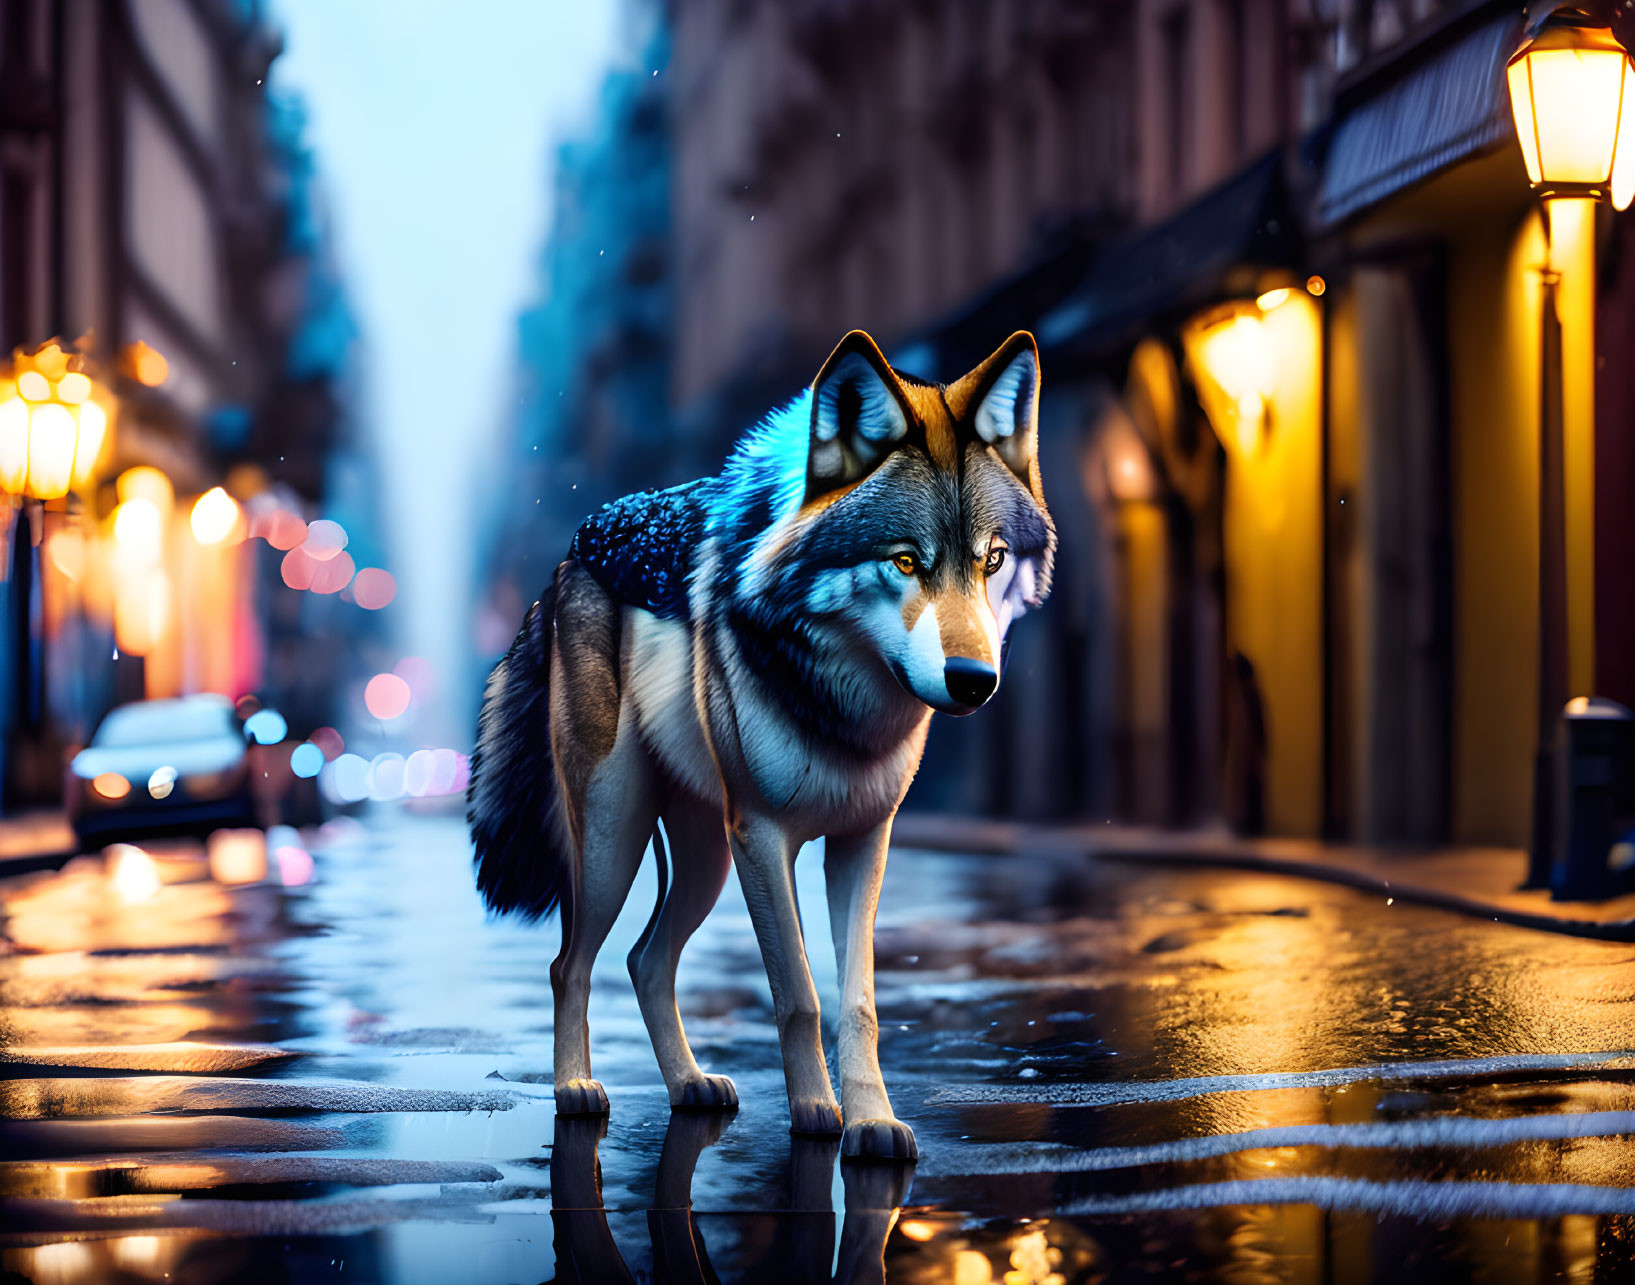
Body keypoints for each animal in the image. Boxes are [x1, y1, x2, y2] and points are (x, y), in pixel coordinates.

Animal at [470, 325, 1059, 1157]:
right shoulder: (765, 839)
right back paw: (575, 1088)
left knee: (644, 959)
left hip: (703, 859)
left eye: (993, 559)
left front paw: (870, 1121)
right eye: (904, 560)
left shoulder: (861, 843)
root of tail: (571, 553)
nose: (973, 680)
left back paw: (689, 1083)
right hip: (618, 841)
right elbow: (800, 996)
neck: (846, 711)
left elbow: (857, 1003)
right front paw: (816, 1114)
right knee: (569, 962)